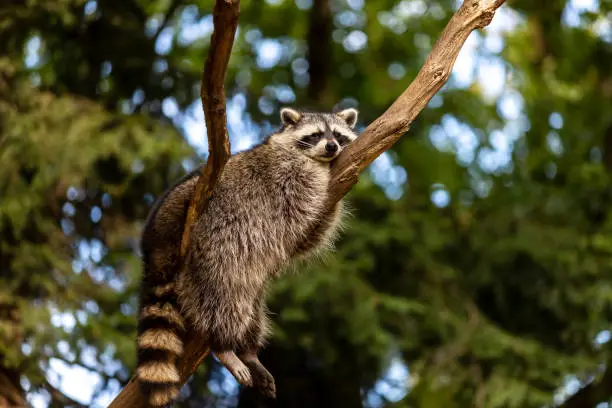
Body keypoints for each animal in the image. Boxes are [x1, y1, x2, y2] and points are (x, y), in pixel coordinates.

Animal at [135, 107, 358, 406]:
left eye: (338, 135)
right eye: (315, 135)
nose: (332, 147)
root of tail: (153, 244)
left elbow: (307, 237)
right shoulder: (284, 175)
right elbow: (303, 201)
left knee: (252, 311)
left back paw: (249, 351)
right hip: (208, 238)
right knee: (224, 299)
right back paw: (223, 345)